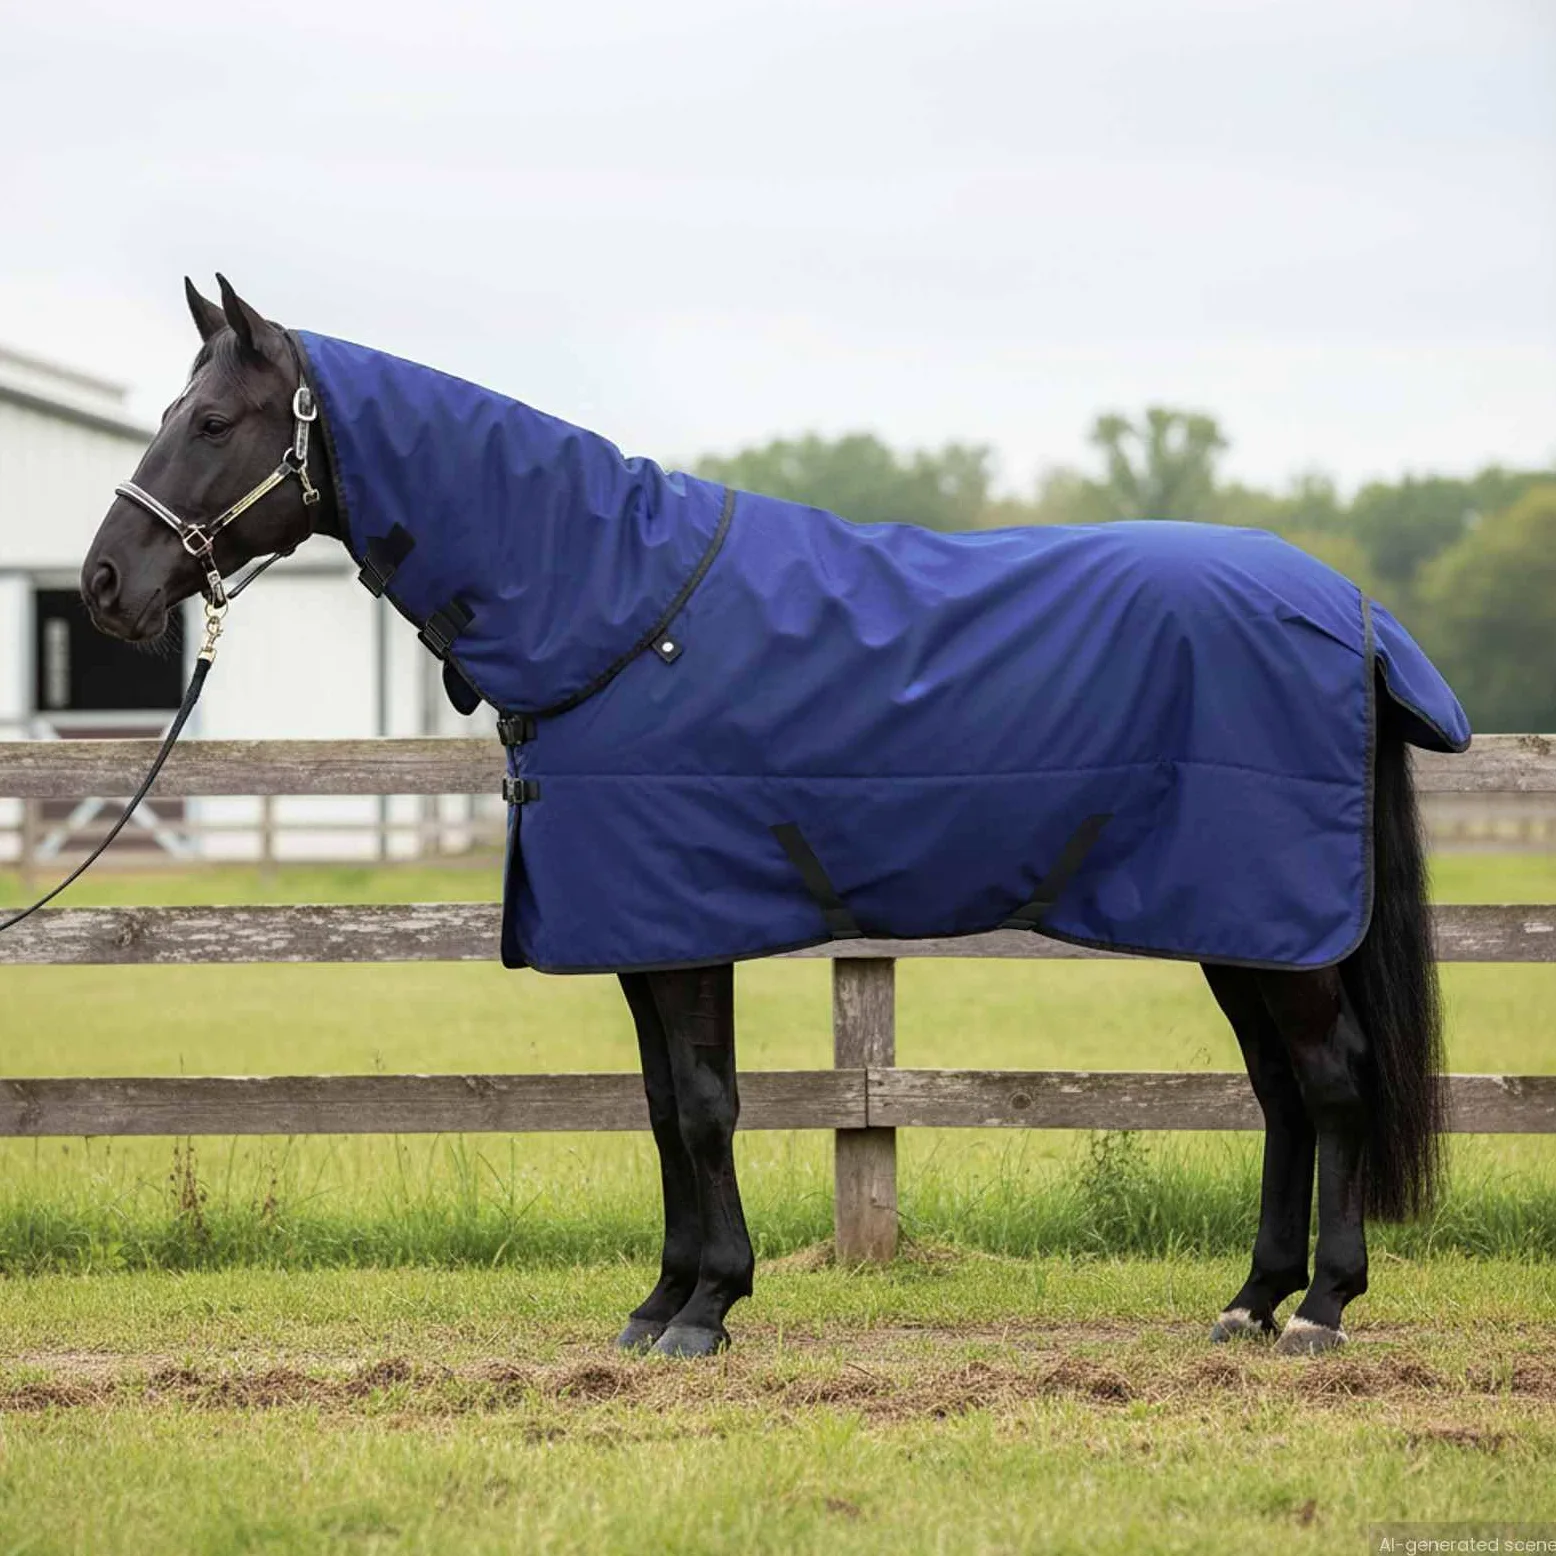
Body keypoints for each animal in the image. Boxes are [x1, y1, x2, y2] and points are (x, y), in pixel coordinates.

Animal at [80, 275, 1468, 1360]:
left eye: (211, 420)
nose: (104, 583)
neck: (617, 608)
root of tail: (1349, 611)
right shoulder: (641, 932)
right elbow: (660, 1106)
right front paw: (660, 1302)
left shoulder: (682, 923)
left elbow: (702, 1103)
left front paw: (705, 1309)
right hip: (1243, 926)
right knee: (1281, 1091)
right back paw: (1248, 1300)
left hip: (1270, 921)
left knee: (1329, 1080)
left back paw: (1319, 1308)